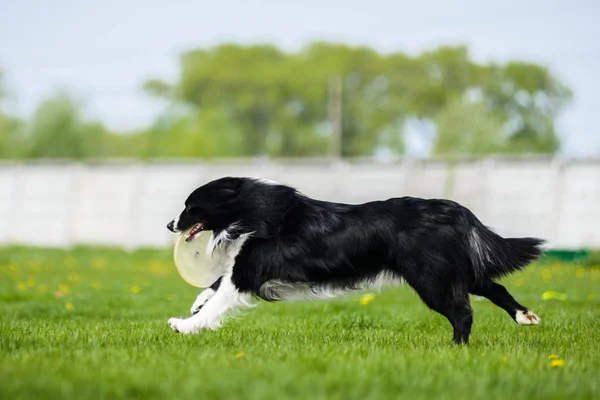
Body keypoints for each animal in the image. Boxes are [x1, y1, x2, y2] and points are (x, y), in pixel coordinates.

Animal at [165, 177, 544, 344]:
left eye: (190, 207)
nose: (169, 224)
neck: (252, 210)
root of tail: (456, 210)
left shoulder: (248, 271)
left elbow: (221, 297)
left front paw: (184, 325)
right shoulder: (246, 266)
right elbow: (215, 285)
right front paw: (197, 303)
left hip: (431, 277)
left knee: (463, 312)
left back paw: (455, 348)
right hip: (449, 269)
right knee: (492, 286)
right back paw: (525, 316)